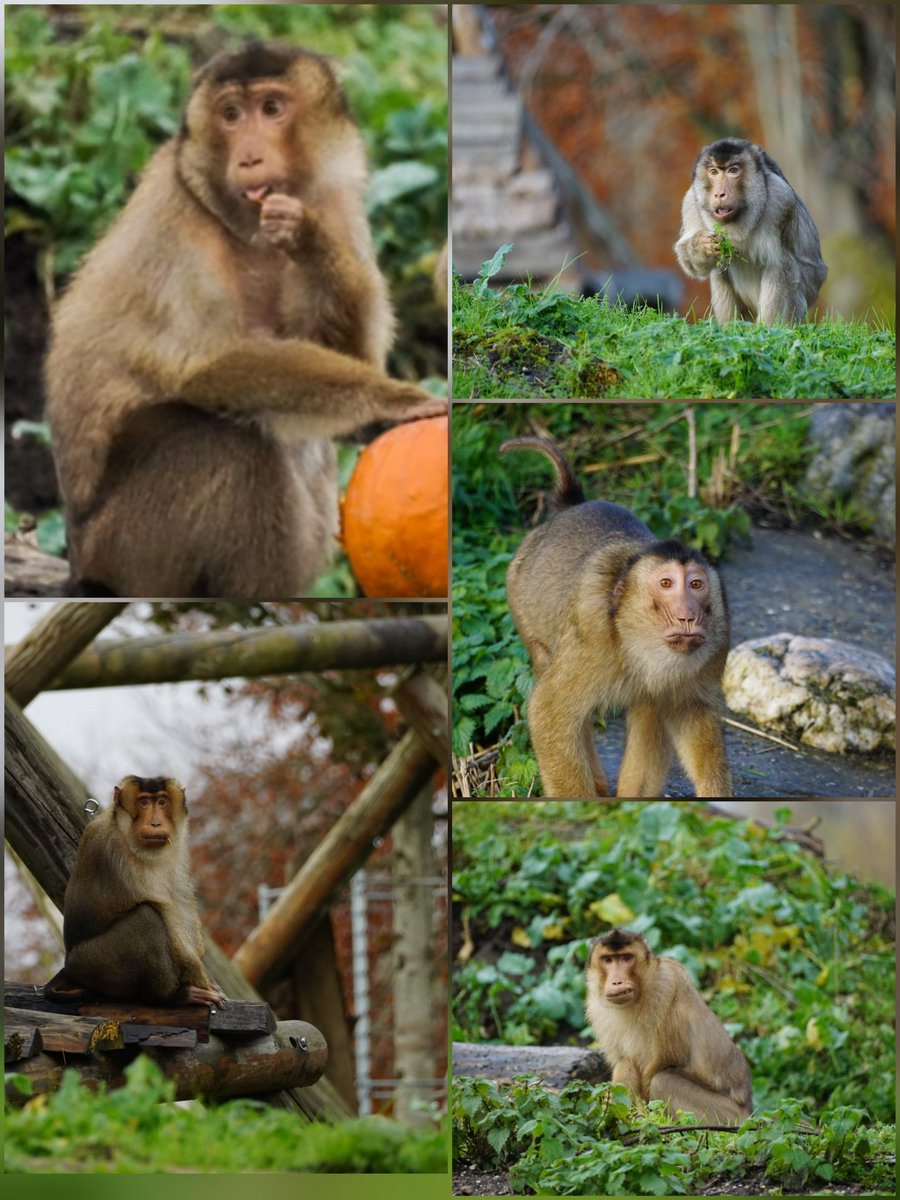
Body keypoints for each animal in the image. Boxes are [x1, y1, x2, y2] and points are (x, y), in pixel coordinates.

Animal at [44, 41, 445, 598]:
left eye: (272, 108)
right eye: (231, 115)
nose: (250, 156)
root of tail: (79, 560)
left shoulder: (339, 202)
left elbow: (347, 350)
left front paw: (307, 238)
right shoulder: (177, 222)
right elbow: (207, 368)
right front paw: (397, 398)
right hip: (123, 549)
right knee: (232, 444)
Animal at [44, 776, 224, 1006]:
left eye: (162, 802)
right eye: (144, 802)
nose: (155, 823)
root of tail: (69, 965)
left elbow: (180, 901)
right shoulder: (115, 853)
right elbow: (163, 909)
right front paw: (197, 982)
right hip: (93, 963)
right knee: (146, 917)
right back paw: (169, 996)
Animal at [501, 437, 731, 799]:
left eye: (696, 585)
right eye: (666, 584)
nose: (688, 617)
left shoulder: (717, 643)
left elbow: (691, 714)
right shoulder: (595, 639)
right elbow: (548, 712)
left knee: (651, 706)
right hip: (519, 592)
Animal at [586, 929, 752, 1126]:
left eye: (626, 958)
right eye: (608, 959)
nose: (617, 982)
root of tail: (749, 1113)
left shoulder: (667, 984)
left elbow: (666, 1060)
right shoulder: (597, 1007)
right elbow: (624, 1062)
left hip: (728, 1117)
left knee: (663, 1081)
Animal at [674, 138, 827, 324]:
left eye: (733, 170)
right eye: (713, 172)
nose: (719, 194)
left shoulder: (781, 200)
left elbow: (780, 265)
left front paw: (768, 329)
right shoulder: (691, 201)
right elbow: (689, 262)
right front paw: (703, 246)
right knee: (719, 268)